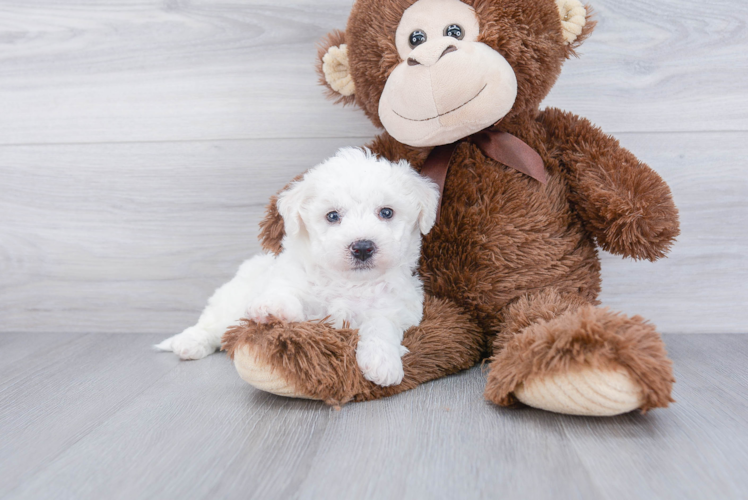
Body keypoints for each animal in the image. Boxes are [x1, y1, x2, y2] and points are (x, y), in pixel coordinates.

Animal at [156, 148, 442, 386]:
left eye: (386, 212)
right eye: (332, 216)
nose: (362, 247)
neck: (349, 282)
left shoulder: (398, 307)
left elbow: (381, 325)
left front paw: (383, 362)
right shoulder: (299, 289)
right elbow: (293, 297)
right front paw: (273, 309)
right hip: (231, 302)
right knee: (212, 325)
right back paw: (188, 343)